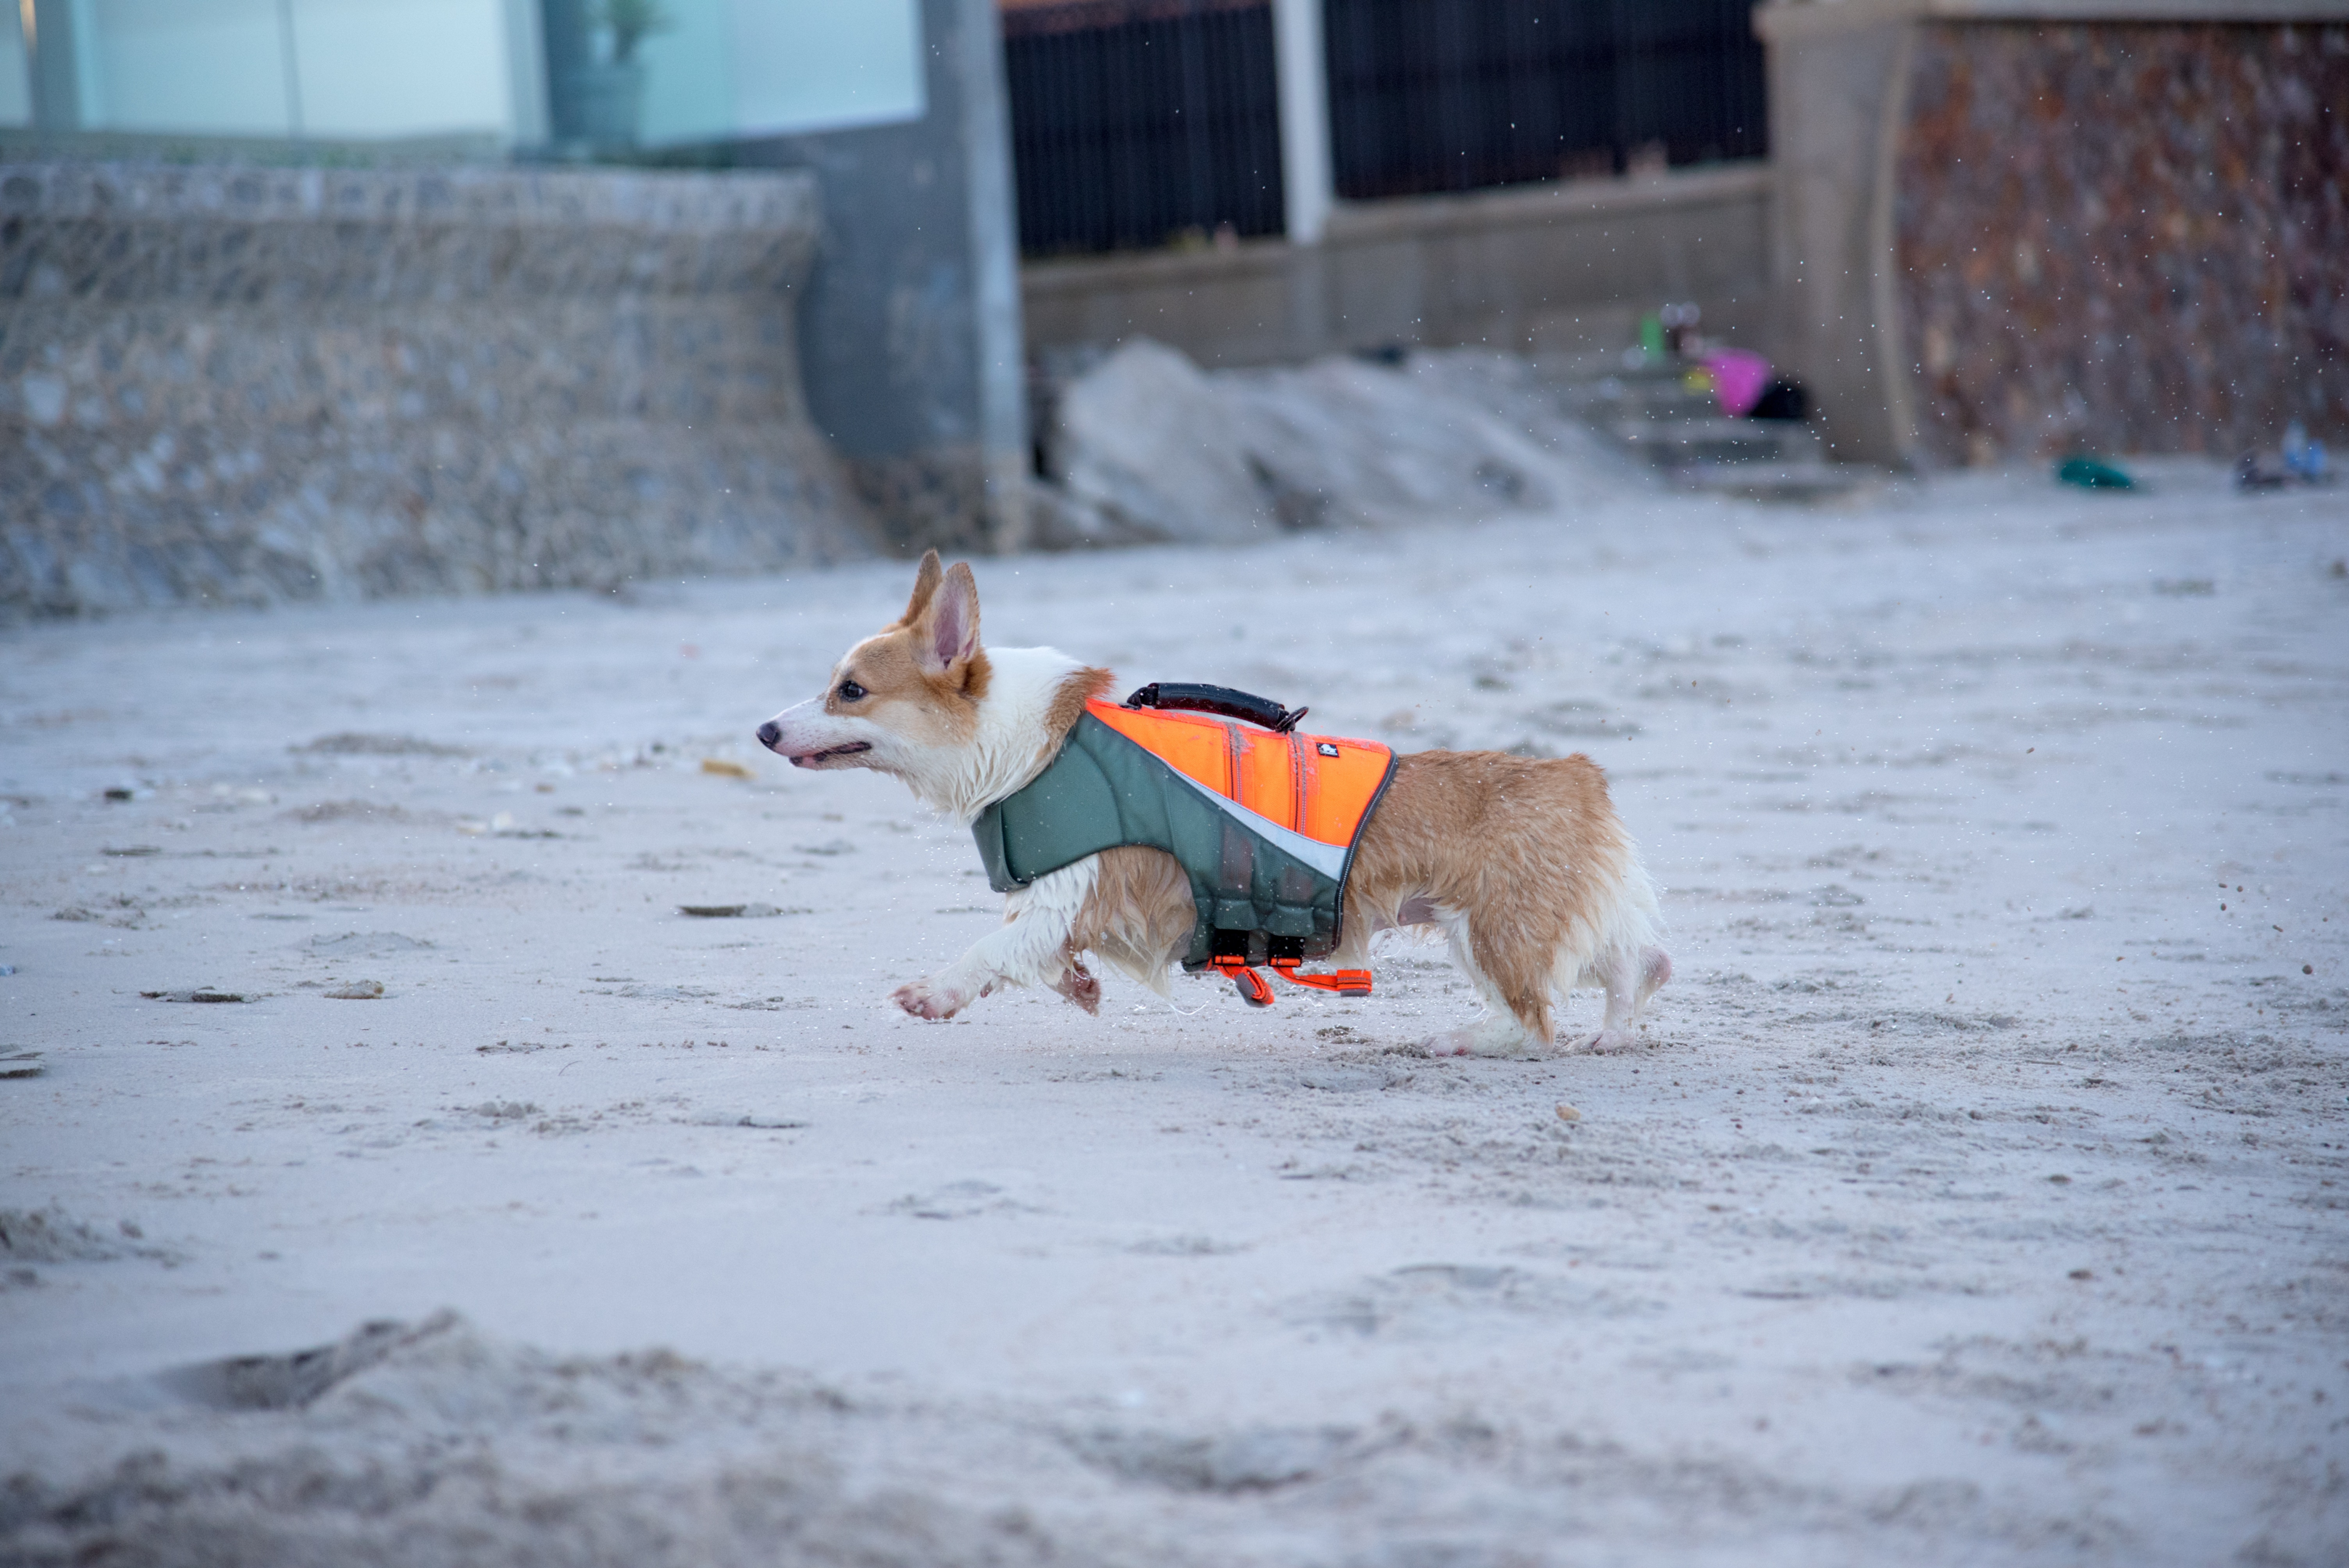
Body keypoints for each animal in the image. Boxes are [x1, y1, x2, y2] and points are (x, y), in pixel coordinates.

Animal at [756, 552, 1672, 1053]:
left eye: (850, 690)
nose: (763, 729)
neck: (1024, 741)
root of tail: (1577, 774)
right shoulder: (1062, 908)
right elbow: (1041, 959)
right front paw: (1078, 990)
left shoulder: (1073, 890)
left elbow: (988, 950)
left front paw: (933, 996)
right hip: (1544, 914)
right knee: (1635, 963)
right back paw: (1616, 1029)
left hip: (1487, 931)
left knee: (1532, 1018)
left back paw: (1461, 1038)